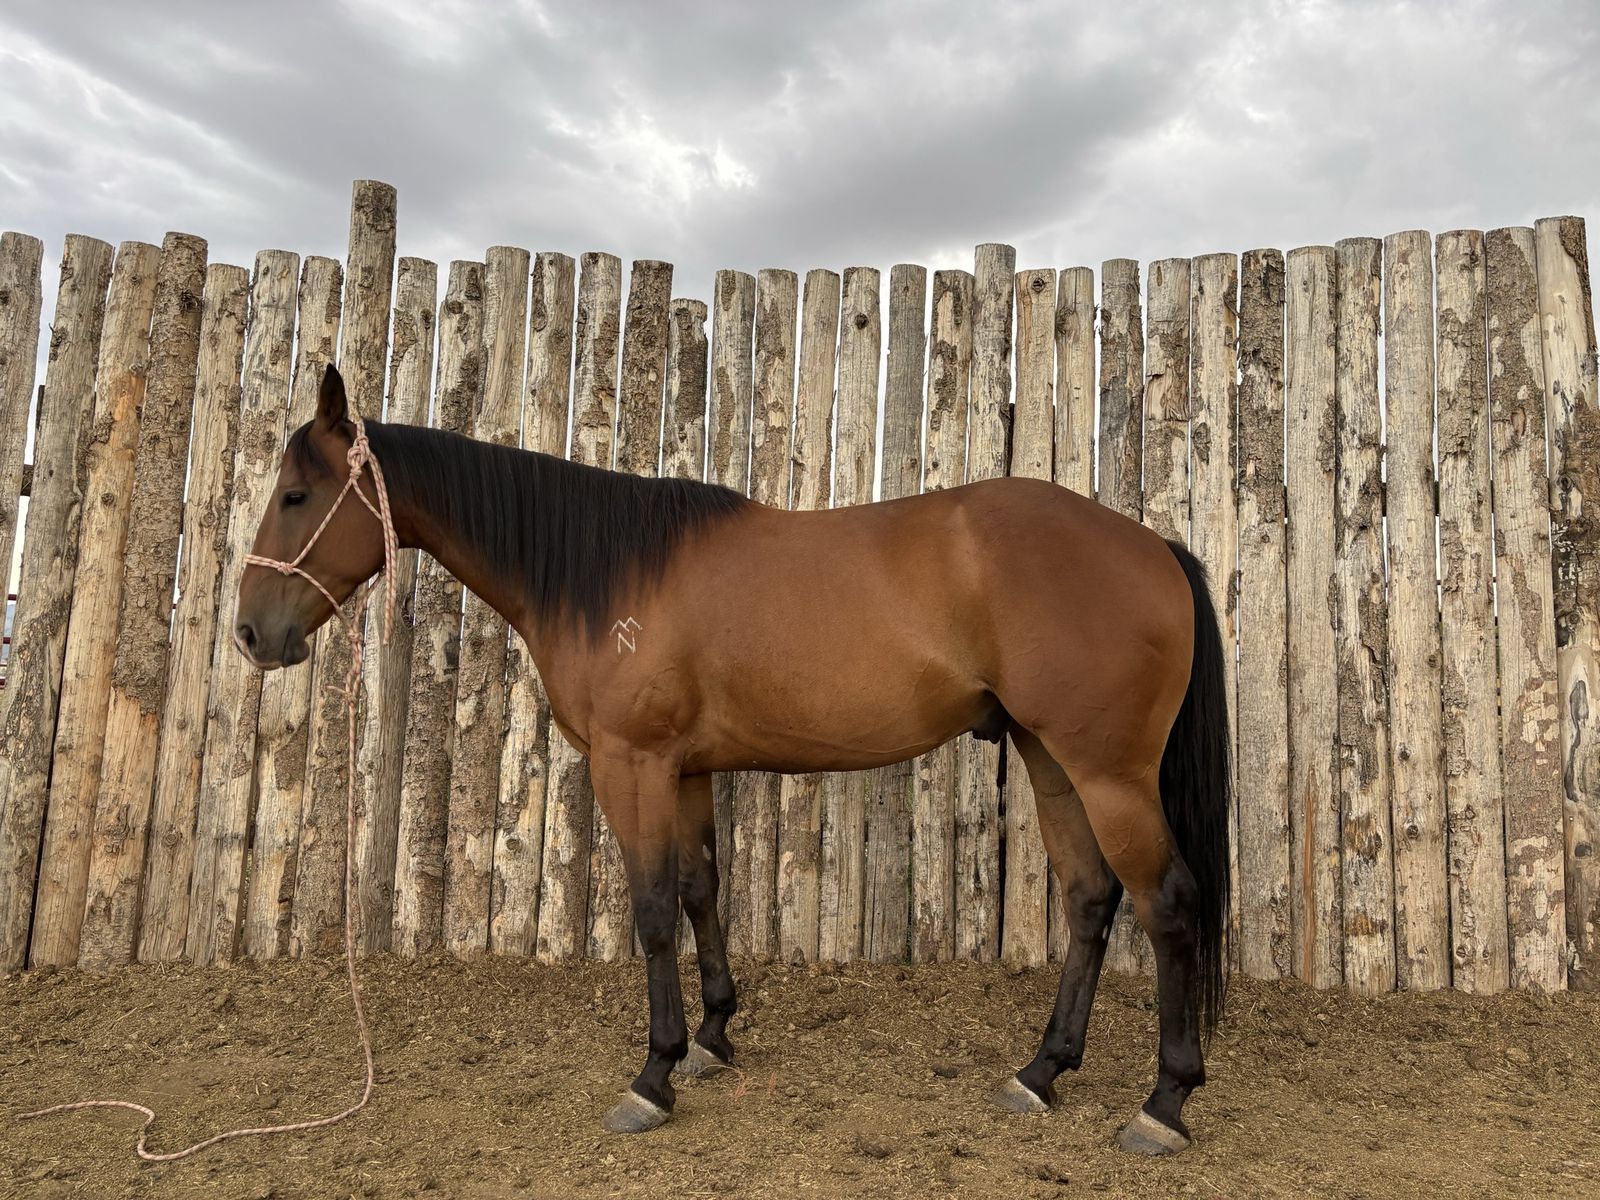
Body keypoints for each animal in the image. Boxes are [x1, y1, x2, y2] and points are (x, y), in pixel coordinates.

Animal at [234, 364, 1231, 1156]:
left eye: (295, 497)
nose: (250, 633)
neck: (608, 573)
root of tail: (1153, 545)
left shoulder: (631, 764)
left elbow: (650, 910)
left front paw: (654, 1075)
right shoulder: (685, 770)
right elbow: (700, 888)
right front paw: (714, 1036)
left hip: (1109, 773)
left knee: (1168, 903)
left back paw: (1164, 1102)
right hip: (1049, 756)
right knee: (1091, 899)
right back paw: (1041, 1071)